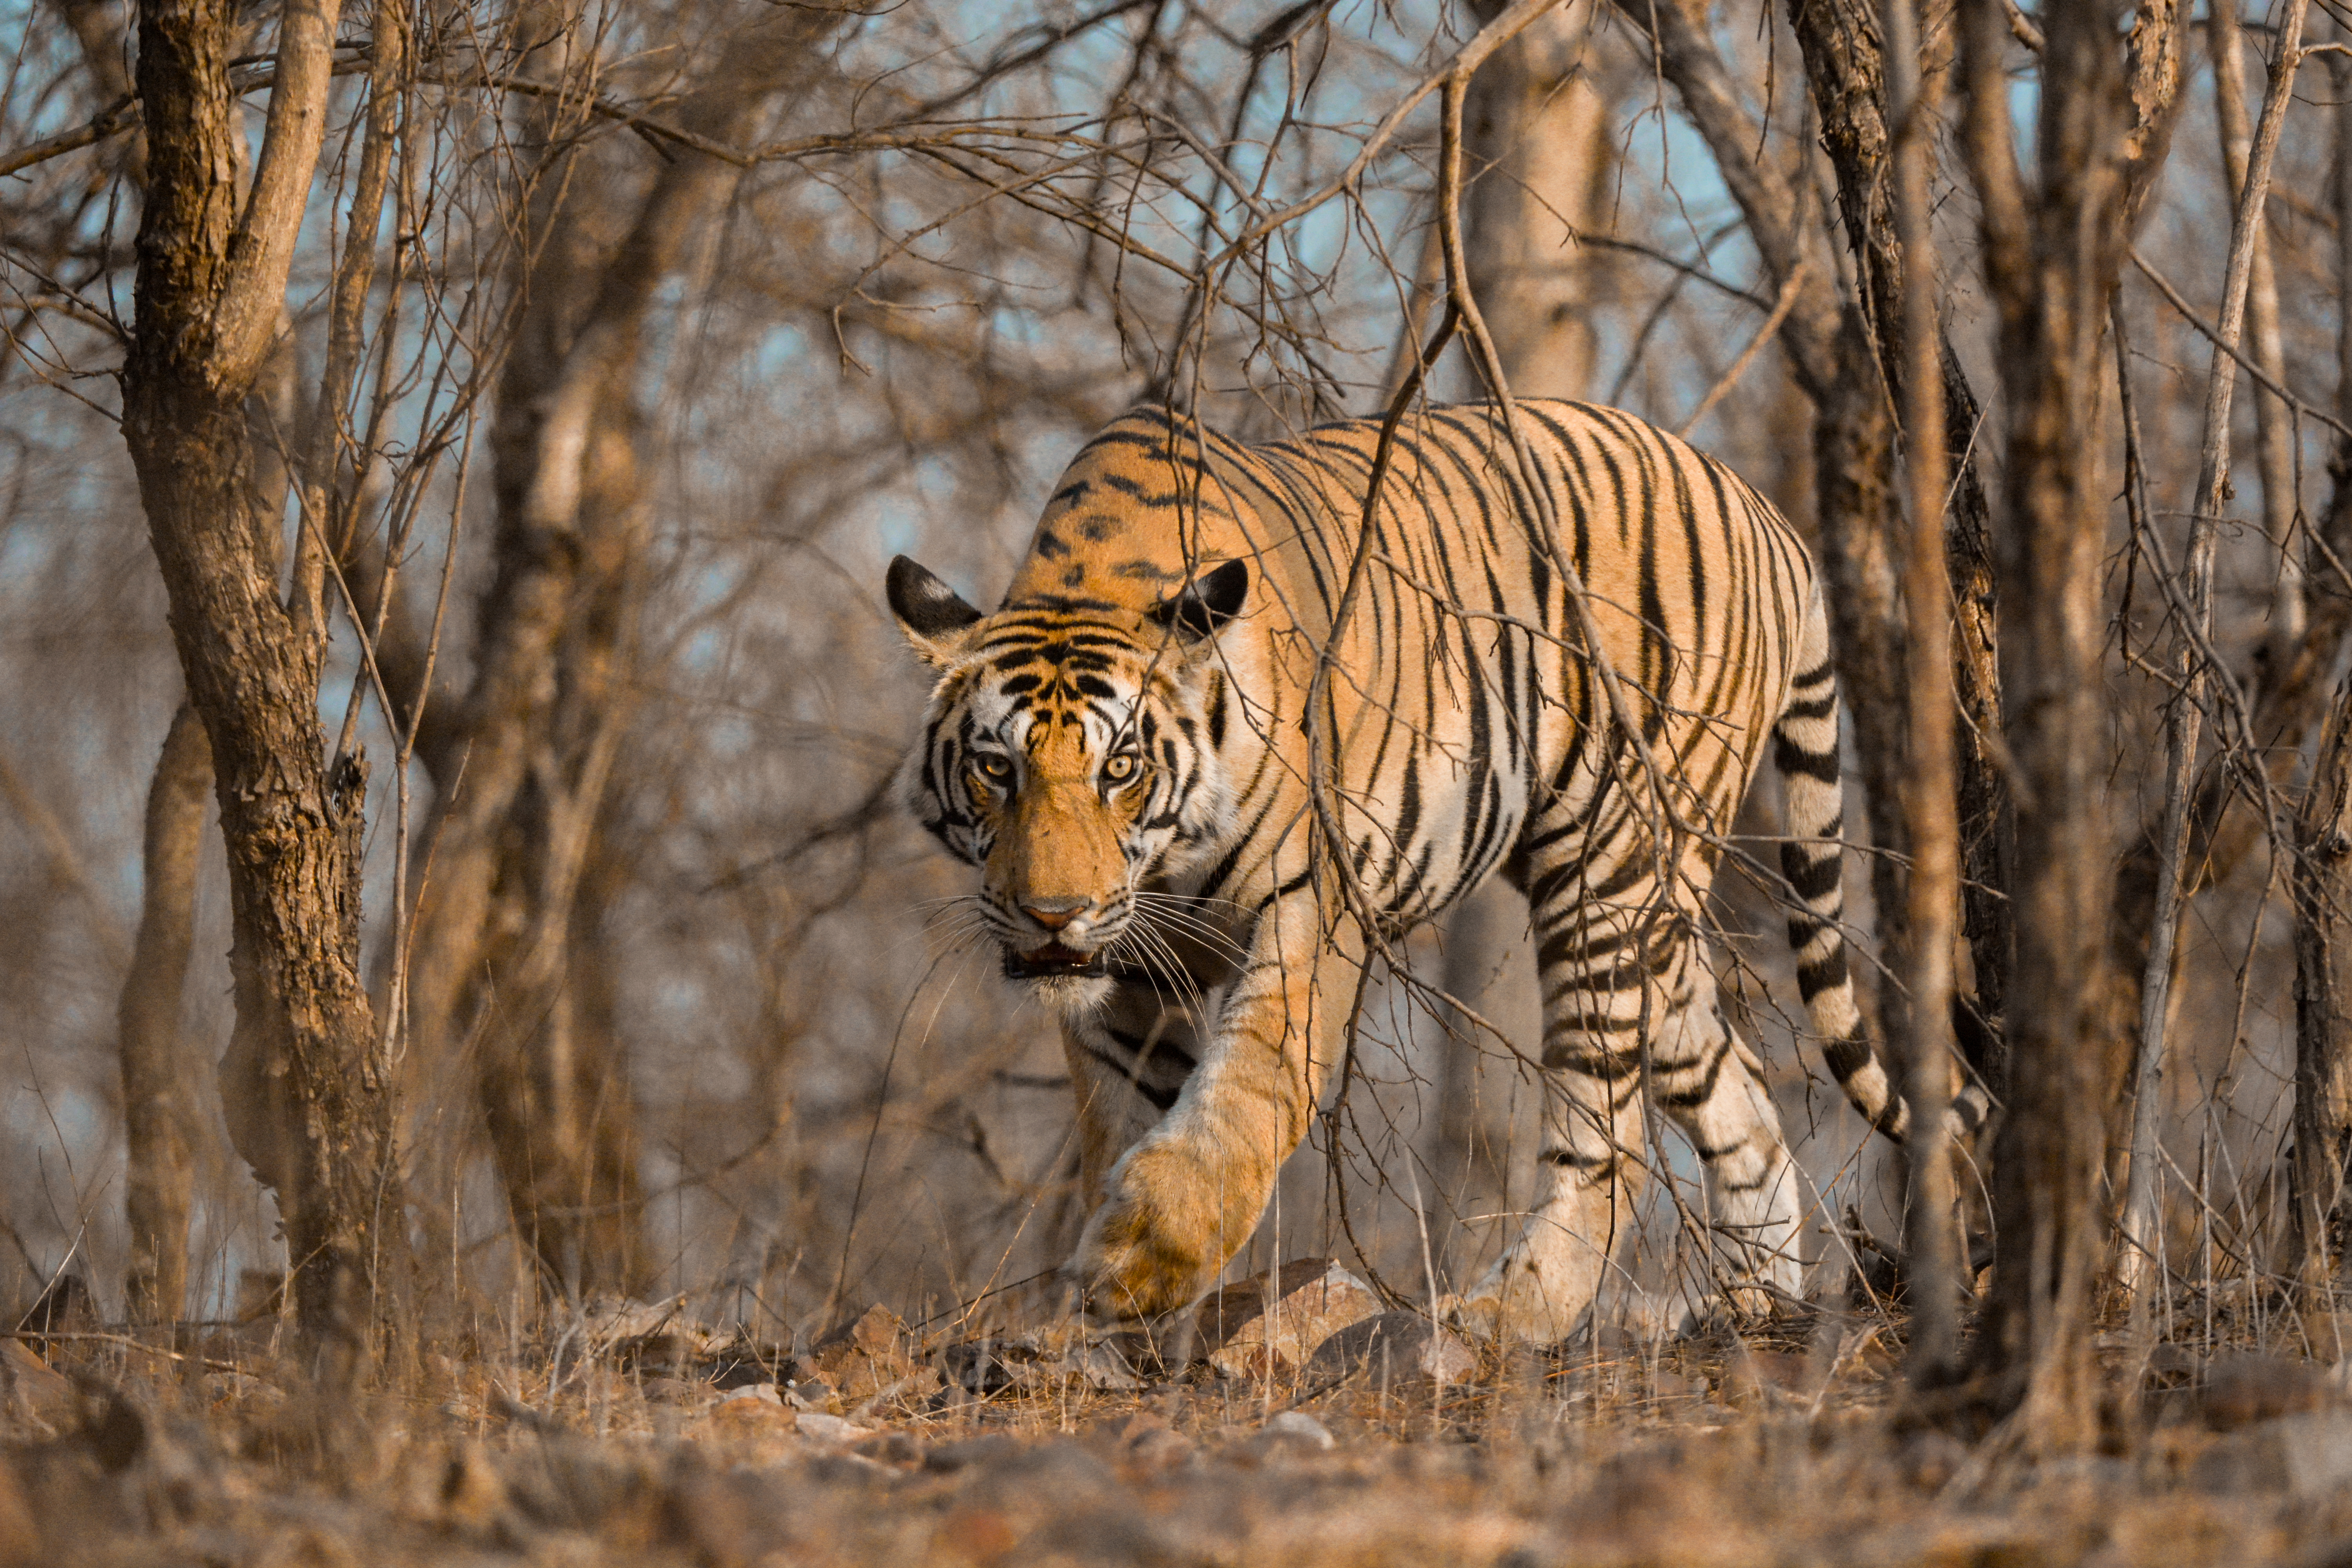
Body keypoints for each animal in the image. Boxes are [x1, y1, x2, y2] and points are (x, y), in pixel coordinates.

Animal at [885, 398, 1965, 1342]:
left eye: (1120, 768)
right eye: (996, 768)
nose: (1052, 913)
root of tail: (1764, 512)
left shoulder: (1309, 904)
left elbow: (1247, 1091)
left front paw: (1141, 1258)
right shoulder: (1127, 970)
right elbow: (1123, 1113)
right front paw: (1122, 1308)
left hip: (1608, 869)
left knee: (1608, 1138)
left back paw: (1510, 1317)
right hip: (1658, 926)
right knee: (1738, 1102)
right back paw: (1753, 1307)